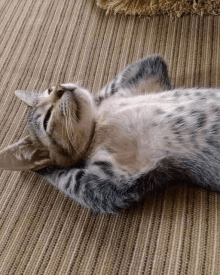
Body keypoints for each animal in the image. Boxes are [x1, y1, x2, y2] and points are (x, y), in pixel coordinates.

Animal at [1, 55, 220, 216]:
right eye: (46, 120)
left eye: (49, 89)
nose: (60, 88)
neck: (99, 125)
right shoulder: (110, 185)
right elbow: (68, 179)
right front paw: (44, 167)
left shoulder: (148, 69)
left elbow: (107, 89)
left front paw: (95, 99)